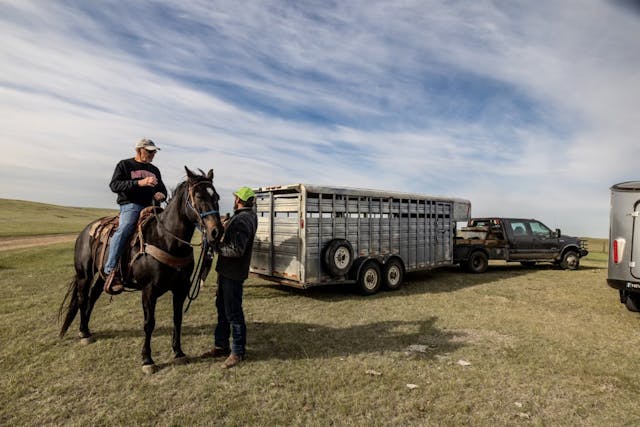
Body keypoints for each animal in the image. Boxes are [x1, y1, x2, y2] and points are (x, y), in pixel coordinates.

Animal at [58, 167, 222, 374]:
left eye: (216, 196)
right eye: (199, 196)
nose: (217, 232)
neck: (167, 240)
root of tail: (85, 231)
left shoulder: (181, 288)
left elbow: (177, 319)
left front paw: (178, 353)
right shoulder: (149, 290)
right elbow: (149, 323)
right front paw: (147, 360)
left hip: (103, 277)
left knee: (92, 297)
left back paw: (86, 330)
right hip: (84, 275)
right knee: (82, 298)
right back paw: (83, 334)